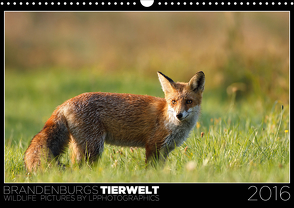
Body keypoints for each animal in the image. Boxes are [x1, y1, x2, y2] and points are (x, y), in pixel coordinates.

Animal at [24, 70, 204, 171]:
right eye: (173, 101)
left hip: (83, 147)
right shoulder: (153, 145)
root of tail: (64, 103)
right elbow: (151, 170)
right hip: (94, 147)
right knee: (80, 168)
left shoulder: (164, 150)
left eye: (188, 101)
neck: (168, 119)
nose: (179, 115)